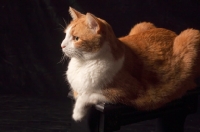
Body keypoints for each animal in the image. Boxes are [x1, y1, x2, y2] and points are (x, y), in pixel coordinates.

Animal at [61, 6, 200, 121]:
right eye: (65, 35)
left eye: (76, 38)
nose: (62, 45)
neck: (83, 64)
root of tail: (172, 32)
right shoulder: (76, 87)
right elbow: (78, 92)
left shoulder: (127, 93)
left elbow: (88, 95)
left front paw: (77, 113)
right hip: (142, 24)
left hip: (193, 35)